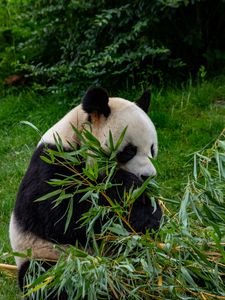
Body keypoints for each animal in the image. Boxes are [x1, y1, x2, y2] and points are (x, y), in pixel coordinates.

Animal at [9, 86, 162, 298]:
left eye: (152, 149)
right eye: (130, 150)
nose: (148, 176)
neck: (75, 138)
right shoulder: (52, 164)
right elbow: (64, 215)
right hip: (47, 254)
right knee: (47, 279)